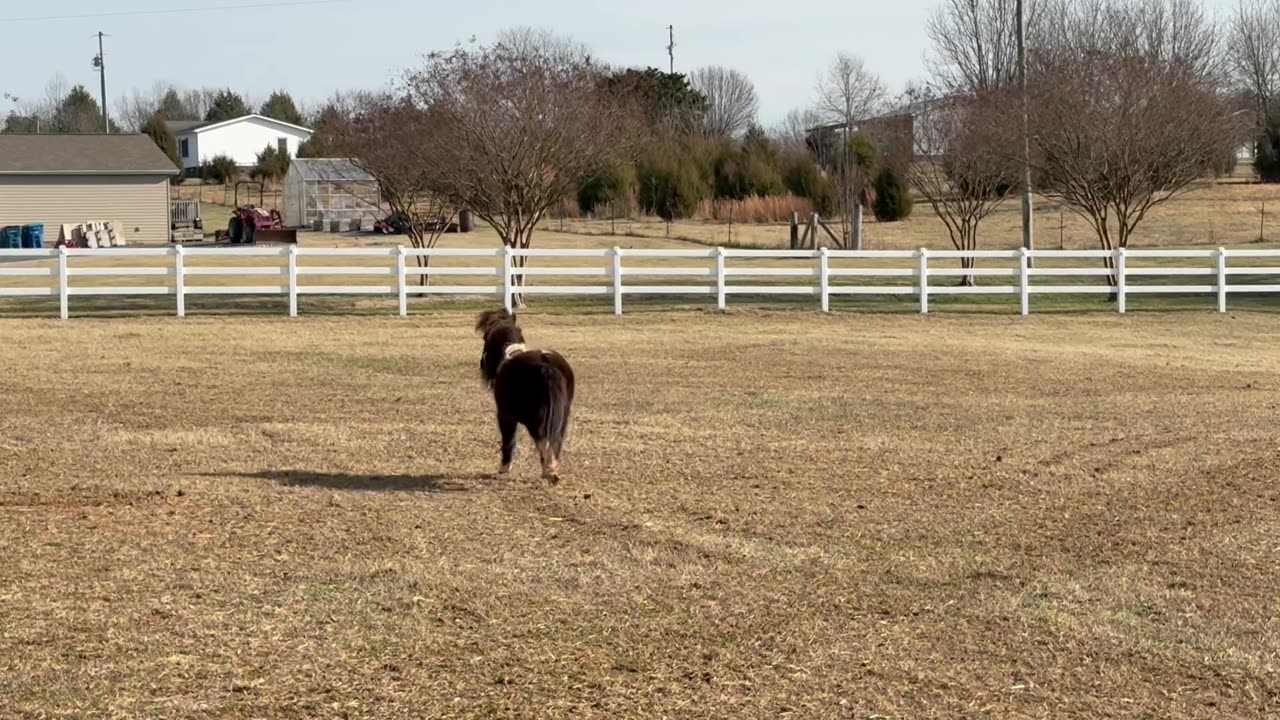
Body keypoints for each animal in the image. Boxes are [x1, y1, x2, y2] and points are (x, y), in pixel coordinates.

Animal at [475, 309, 575, 484]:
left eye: (485, 337)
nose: (482, 365)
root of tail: (546, 365)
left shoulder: (505, 416)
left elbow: (508, 441)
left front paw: (503, 469)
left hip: (534, 419)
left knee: (543, 441)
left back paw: (549, 472)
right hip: (562, 416)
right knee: (555, 441)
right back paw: (552, 471)